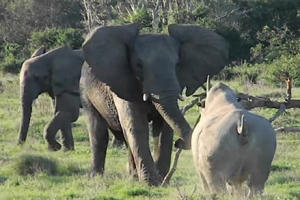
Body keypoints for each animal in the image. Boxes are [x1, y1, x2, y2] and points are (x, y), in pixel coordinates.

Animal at [81, 23, 229, 186]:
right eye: (138, 65)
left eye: (178, 64)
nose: (179, 142)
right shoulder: (124, 82)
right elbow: (136, 126)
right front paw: (151, 182)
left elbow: (164, 127)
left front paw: (162, 181)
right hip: (85, 92)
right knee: (98, 131)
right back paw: (96, 176)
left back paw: (133, 177)